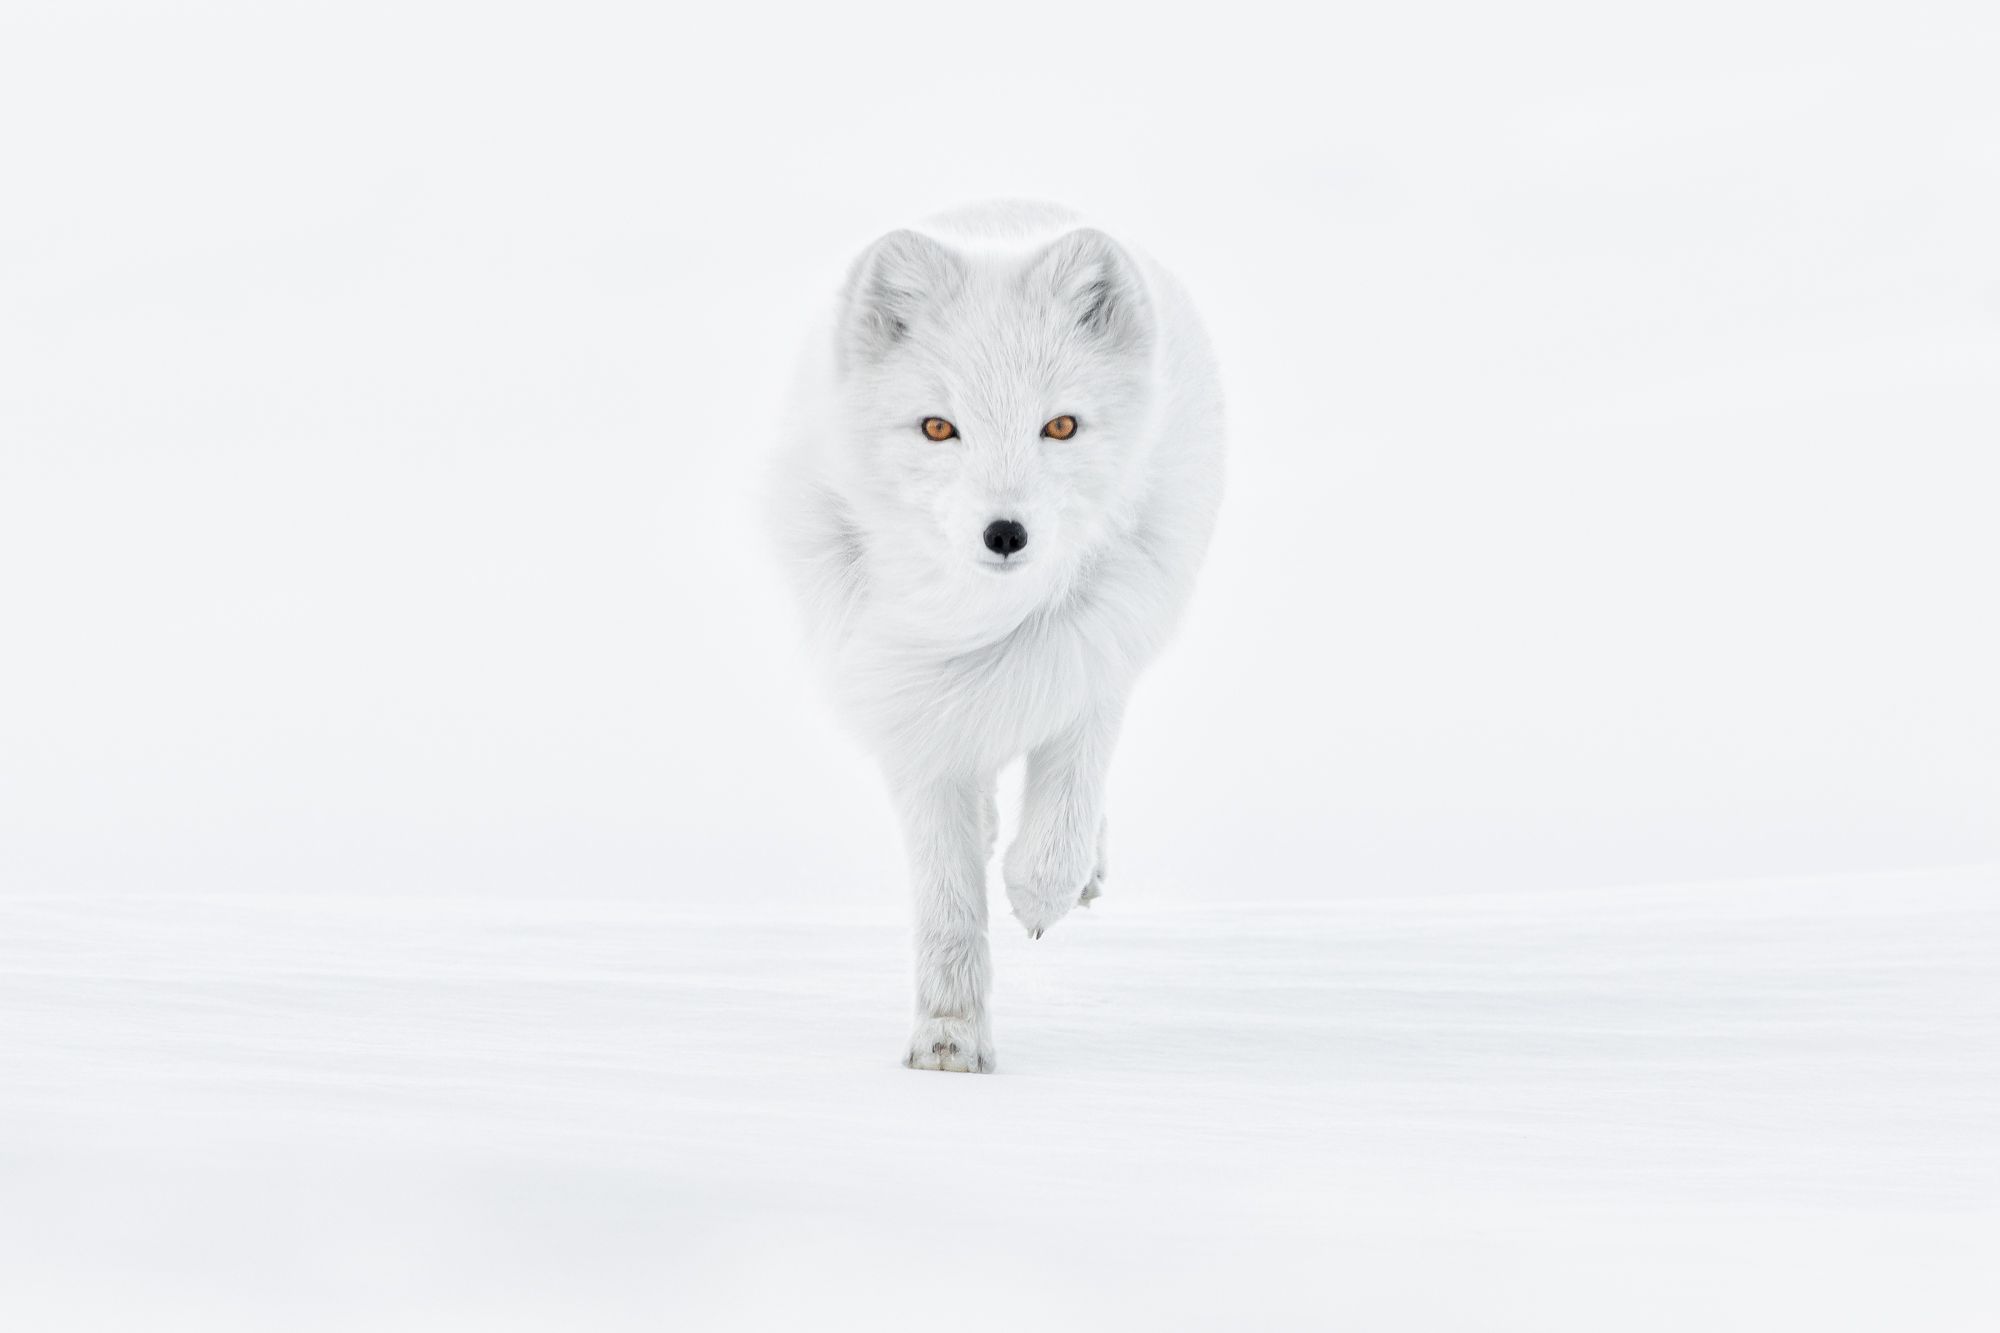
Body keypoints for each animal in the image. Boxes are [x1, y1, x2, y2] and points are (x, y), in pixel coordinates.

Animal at [771, 201, 1225, 1072]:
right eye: (937, 427)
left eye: (1062, 425)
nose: (1005, 533)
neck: (983, 621)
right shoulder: (911, 714)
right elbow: (947, 900)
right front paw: (948, 1036)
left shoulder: (1092, 663)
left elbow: (1063, 815)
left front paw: (1040, 891)